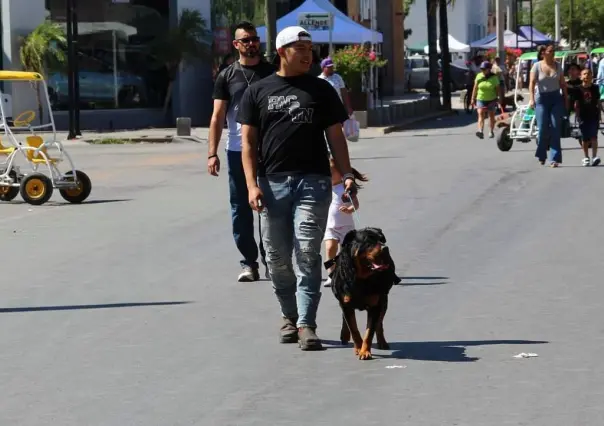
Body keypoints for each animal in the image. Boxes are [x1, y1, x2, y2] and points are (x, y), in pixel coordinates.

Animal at [324, 226, 404, 360]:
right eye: (368, 241)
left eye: (382, 240)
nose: (385, 248)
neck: (362, 279)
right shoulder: (346, 304)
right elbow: (353, 328)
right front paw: (358, 347)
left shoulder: (375, 305)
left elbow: (370, 331)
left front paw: (365, 351)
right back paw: (344, 335)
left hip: (383, 300)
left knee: (379, 322)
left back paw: (382, 342)